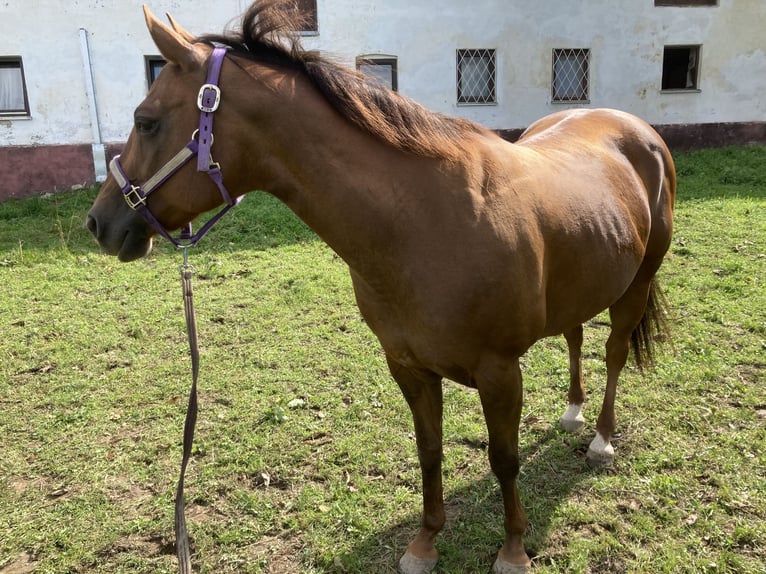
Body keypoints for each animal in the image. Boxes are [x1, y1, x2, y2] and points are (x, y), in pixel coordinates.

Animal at [88, 2, 680, 572]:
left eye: (146, 121)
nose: (100, 223)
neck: (423, 220)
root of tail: (638, 130)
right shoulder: (407, 365)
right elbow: (429, 450)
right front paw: (425, 543)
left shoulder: (500, 371)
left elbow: (503, 459)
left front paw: (513, 550)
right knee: (577, 337)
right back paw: (573, 412)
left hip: (636, 285)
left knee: (614, 353)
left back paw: (600, 439)